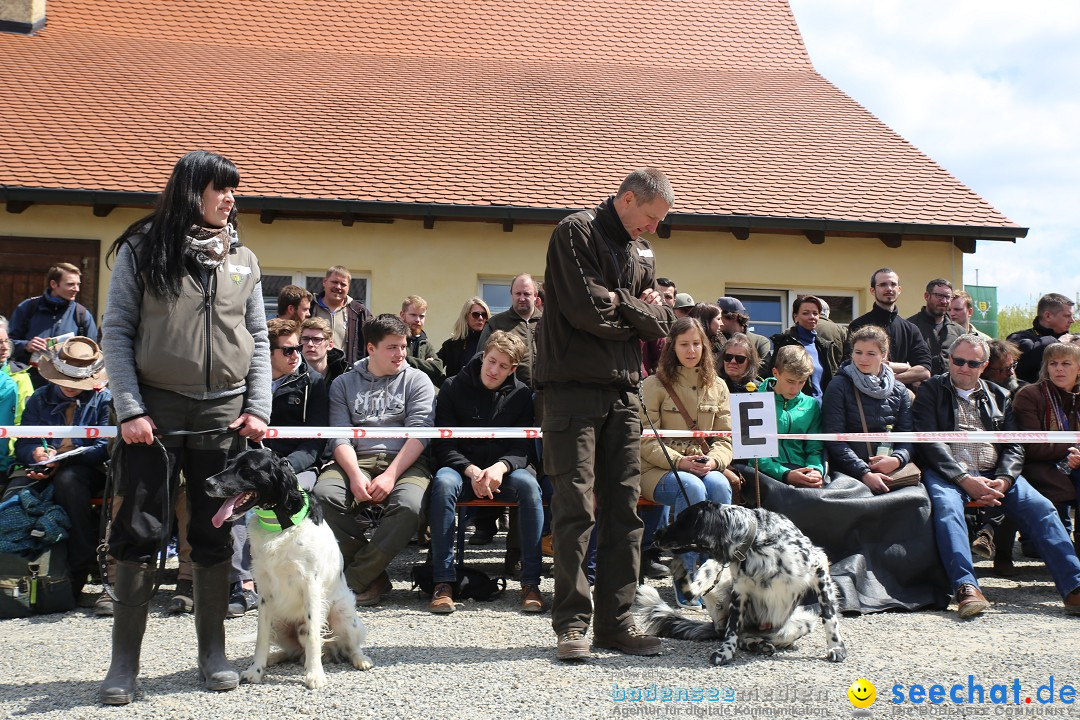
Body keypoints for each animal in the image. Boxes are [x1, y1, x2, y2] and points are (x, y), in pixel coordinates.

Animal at [206, 446, 375, 690]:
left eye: (246, 469)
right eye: (230, 464)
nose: (207, 483)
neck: (280, 525)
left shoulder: (311, 585)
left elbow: (313, 635)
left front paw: (314, 675)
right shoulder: (265, 591)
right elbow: (261, 637)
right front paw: (256, 670)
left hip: (343, 615)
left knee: (349, 645)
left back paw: (360, 659)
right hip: (280, 622)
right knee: (293, 652)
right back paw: (273, 658)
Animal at [630, 500, 851, 664]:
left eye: (682, 520)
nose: (654, 533)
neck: (758, 542)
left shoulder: (819, 568)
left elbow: (829, 616)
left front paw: (836, 647)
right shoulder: (740, 591)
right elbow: (732, 630)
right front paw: (725, 653)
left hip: (803, 621)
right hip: (713, 571)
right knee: (695, 596)